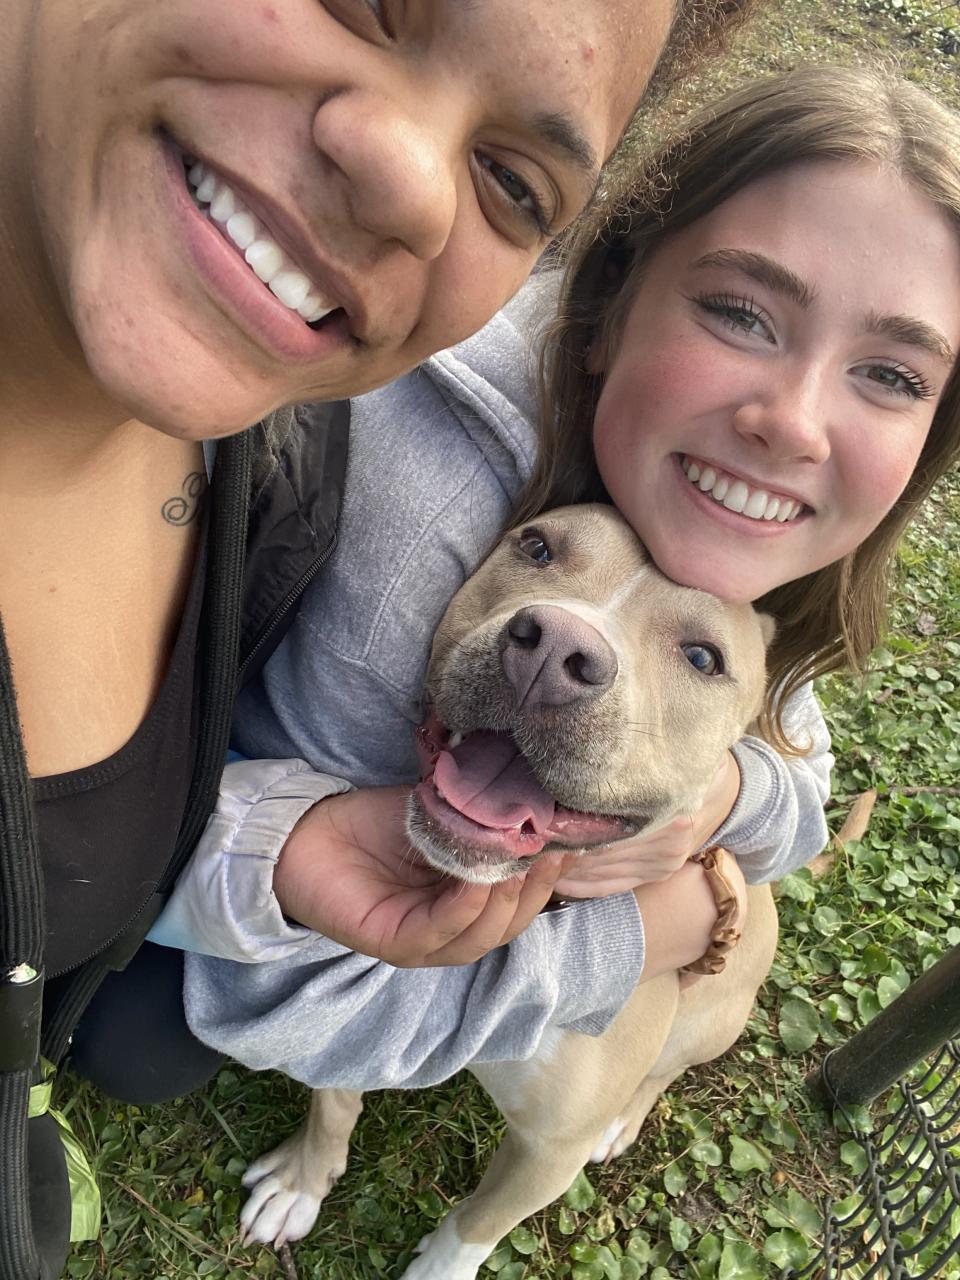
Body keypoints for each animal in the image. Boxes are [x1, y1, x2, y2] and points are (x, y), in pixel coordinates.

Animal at [238, 504, 780, 1279]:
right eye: (537, 546)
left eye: (704, 658)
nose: (555, 648)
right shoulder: (342, 1026)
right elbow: (333, 1101)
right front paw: (301, 1182)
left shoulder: (550, 1150)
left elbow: (481, 1221)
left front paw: (439, 1265)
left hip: (710, 1020)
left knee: (663, 1072)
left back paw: (626, 1118)